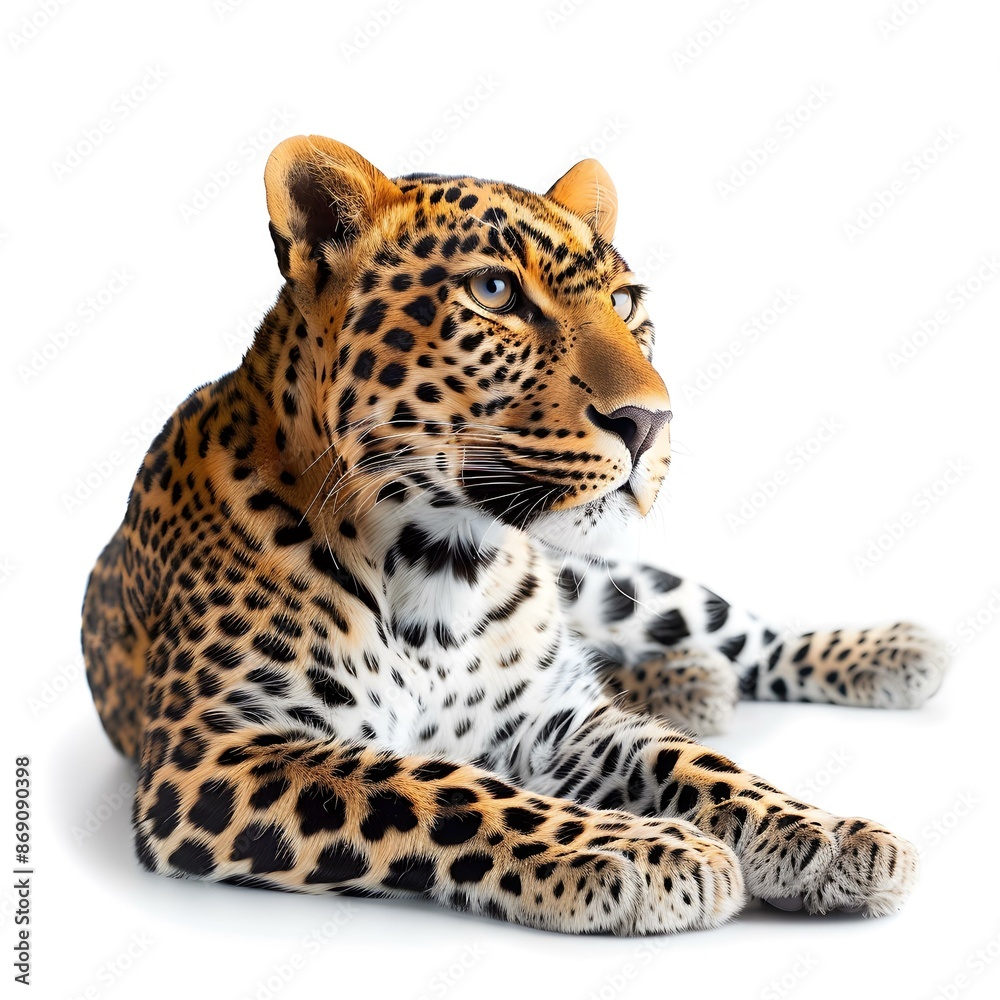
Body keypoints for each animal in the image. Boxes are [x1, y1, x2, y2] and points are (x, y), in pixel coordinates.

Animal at [81, 134, 949, 934]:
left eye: (625, 303)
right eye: (495, 292)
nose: (650, 422)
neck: (441, 565)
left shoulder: (561, 719)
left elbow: (698, 764)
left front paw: (825, 834)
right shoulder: (214, 752)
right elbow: (440, 785)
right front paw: (640, 849)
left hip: (625, 588)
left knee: (741, 635)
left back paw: (886, 654)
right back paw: (692, 684)